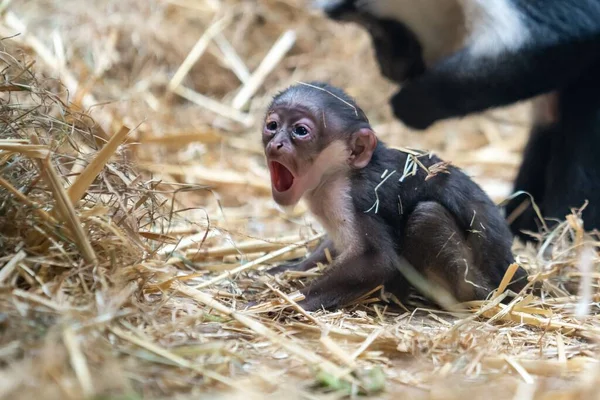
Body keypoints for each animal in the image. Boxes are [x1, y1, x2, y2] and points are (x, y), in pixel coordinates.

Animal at [262, 83, 524, 310]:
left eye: (300, 131)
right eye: (272, 126)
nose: (276, 144)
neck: (340, 174)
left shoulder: (359, 196)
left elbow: (378, 261)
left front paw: (280, 304)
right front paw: (287, 269)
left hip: (482, 287)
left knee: (427, 216)